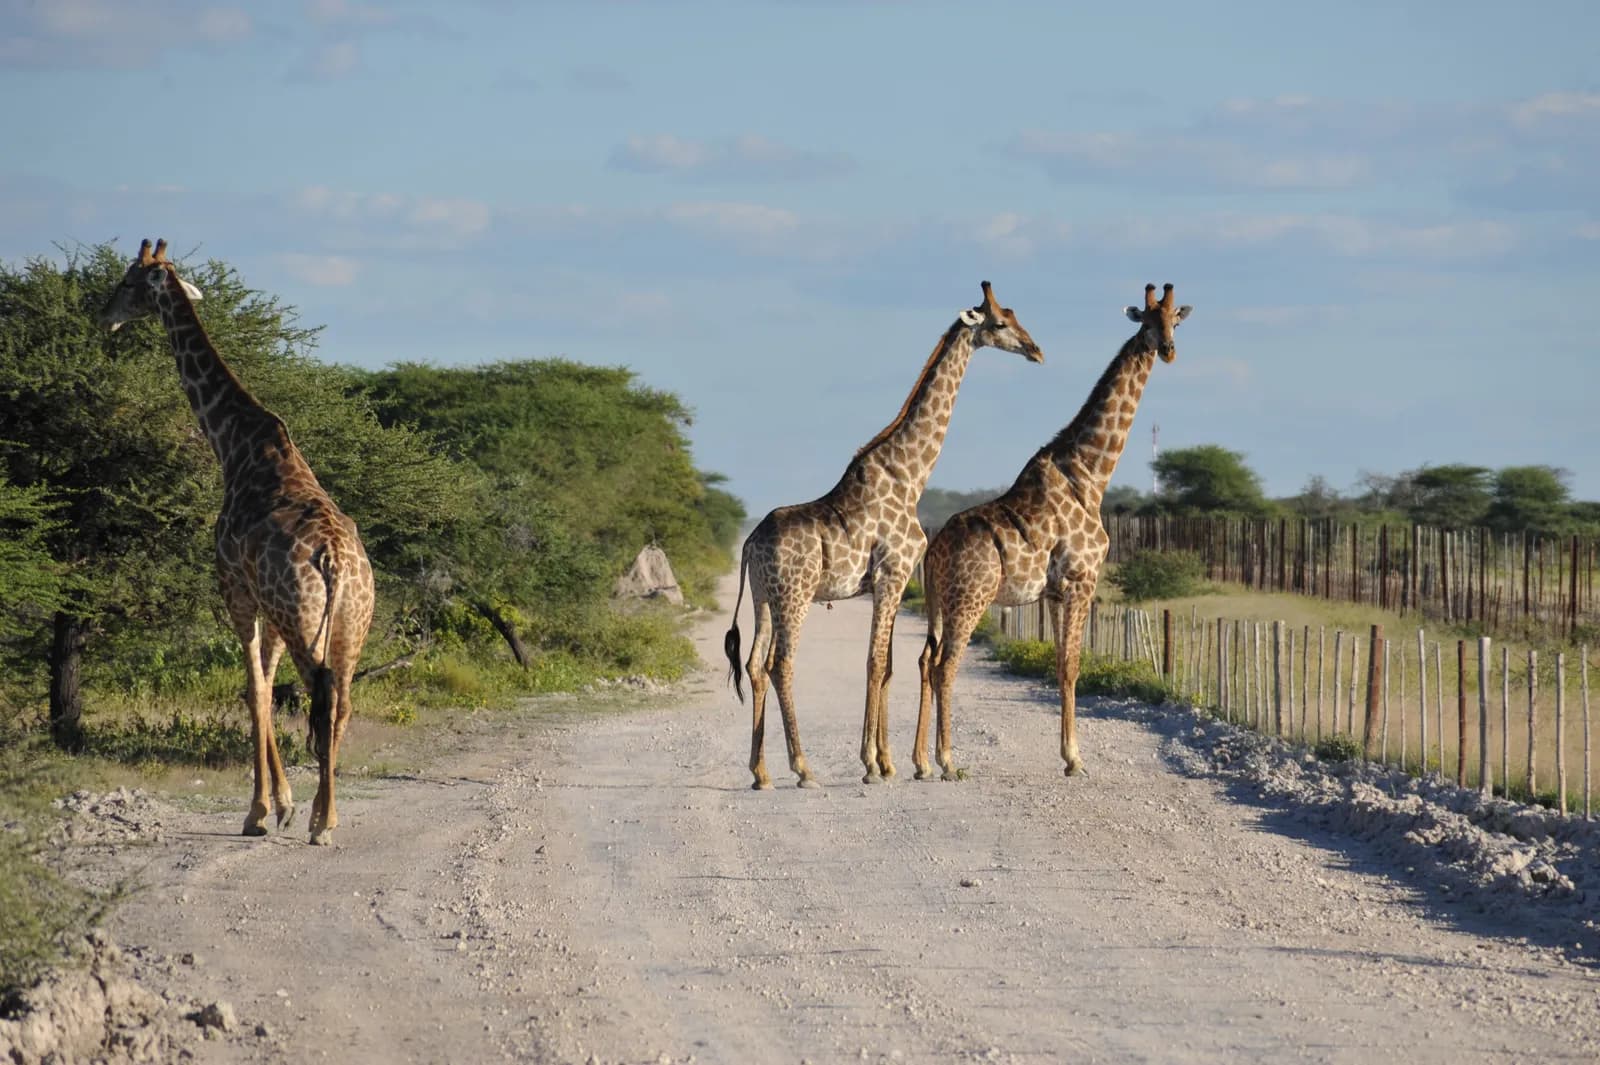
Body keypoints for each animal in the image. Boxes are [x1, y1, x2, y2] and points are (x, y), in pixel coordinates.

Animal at [99, 239, 375, 845]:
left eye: (129, 282)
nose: (102, 315)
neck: (232, 443)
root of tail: (335, 561)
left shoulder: (236, 590)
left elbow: (253, 691)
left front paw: (261, 812)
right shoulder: (267, 606)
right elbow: (266, 690)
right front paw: (284, 805)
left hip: (303, 619)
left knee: (320, 699)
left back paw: (321, 823)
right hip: (349, 623)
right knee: (342, 701)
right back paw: (327, 814)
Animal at [724, 282, 1043, 788]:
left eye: (1014, 316)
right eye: (999, 323)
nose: (1035, 350)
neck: (910, 476)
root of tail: (750, 543)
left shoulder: (889, 581)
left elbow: (888, 664)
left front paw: (889, 762)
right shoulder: (892, 574)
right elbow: (876, 662)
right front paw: (873, 766)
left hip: (762, 595)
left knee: (755, 665)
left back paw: (761, 772)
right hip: (795, 594)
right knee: (781, 664)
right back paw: (802, 768)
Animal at [912, 283, 1192, 781]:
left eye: (1174, 320)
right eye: (1146, 322)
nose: (1168, 350)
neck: (1089, 474)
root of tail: (934, 550)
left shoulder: (1057, 593)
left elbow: (1063, 664)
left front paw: (1068, 755)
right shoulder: (1083, 580)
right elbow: (1073, 666)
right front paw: (1075, 759)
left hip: (937, 602)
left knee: (927, 660)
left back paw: (921, 761)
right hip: (970, 598)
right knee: (945, 665)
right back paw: (947, 761)